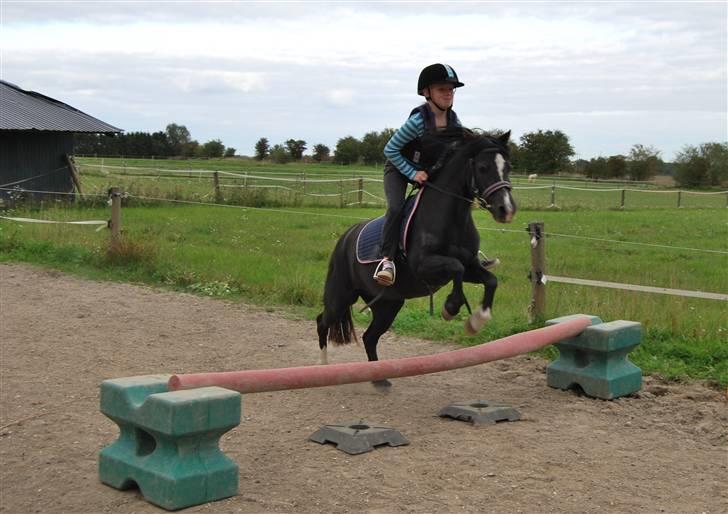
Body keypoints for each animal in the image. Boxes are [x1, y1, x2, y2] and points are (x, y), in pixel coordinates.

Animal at [316, 130, 516, 386]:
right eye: (482, 167)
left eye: (508, 167)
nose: (506, 210)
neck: (451, 219)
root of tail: (345, 237)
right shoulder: (424, 266)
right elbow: (456, 267)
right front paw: (451, 307)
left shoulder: (472, 267)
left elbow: (489, 279)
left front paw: (477, 320)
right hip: (341, 296)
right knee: (323, 321)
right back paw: (322, 367)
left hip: (388, 304)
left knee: (370, 337)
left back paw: (379, 379)